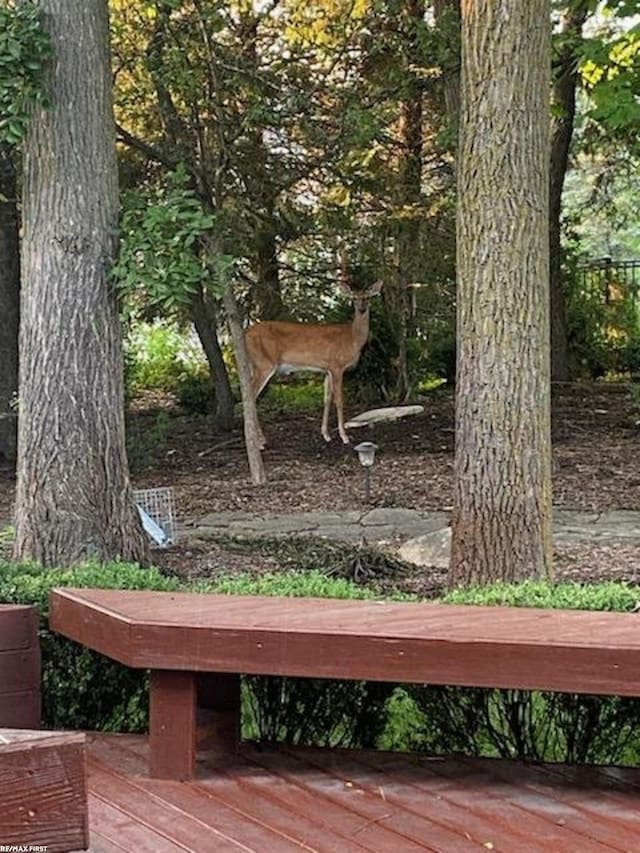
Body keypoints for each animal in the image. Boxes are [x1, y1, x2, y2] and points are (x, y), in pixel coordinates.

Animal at [246, 260, 382, 446]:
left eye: (368, 297)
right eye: (354, 299)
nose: (361, 308)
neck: (352, 338)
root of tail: (245, 334)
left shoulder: (327, 369)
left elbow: (326, 400)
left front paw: (326, 434)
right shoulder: (337, 366)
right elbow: (339, 400)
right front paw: (344, 436)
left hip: (256, 365)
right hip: (264, 363)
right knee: (252, 396)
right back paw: (260, 440)